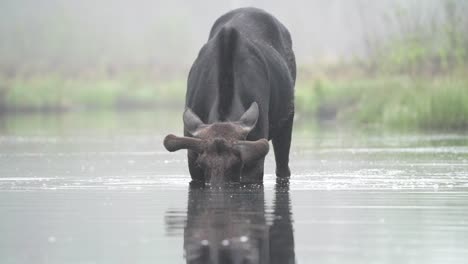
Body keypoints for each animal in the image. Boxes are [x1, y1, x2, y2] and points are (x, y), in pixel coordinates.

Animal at [164, 8, 296, 186]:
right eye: (201, 163)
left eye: (237, 163)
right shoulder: (192, 158)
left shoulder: (254, 160)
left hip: (287, 121)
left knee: (283, 167)